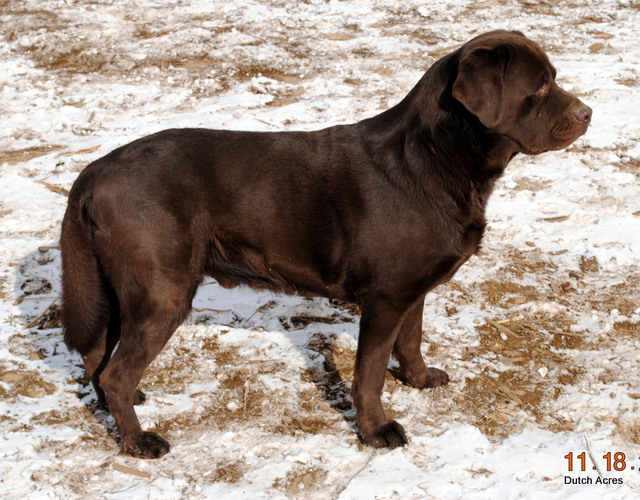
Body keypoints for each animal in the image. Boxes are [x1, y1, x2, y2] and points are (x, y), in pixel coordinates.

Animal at [60, 31, 592, 458]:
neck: (436, 157)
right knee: (115, 370)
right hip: (163, 291)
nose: (589, 113)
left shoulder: (412, 290)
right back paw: (138, 441)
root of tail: (94, 170)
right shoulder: (384, 298)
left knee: (98, 356)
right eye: (538, 87)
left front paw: (420, 380)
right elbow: (369, 373)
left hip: (120, 287)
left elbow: (412, 339)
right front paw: (377, 430)